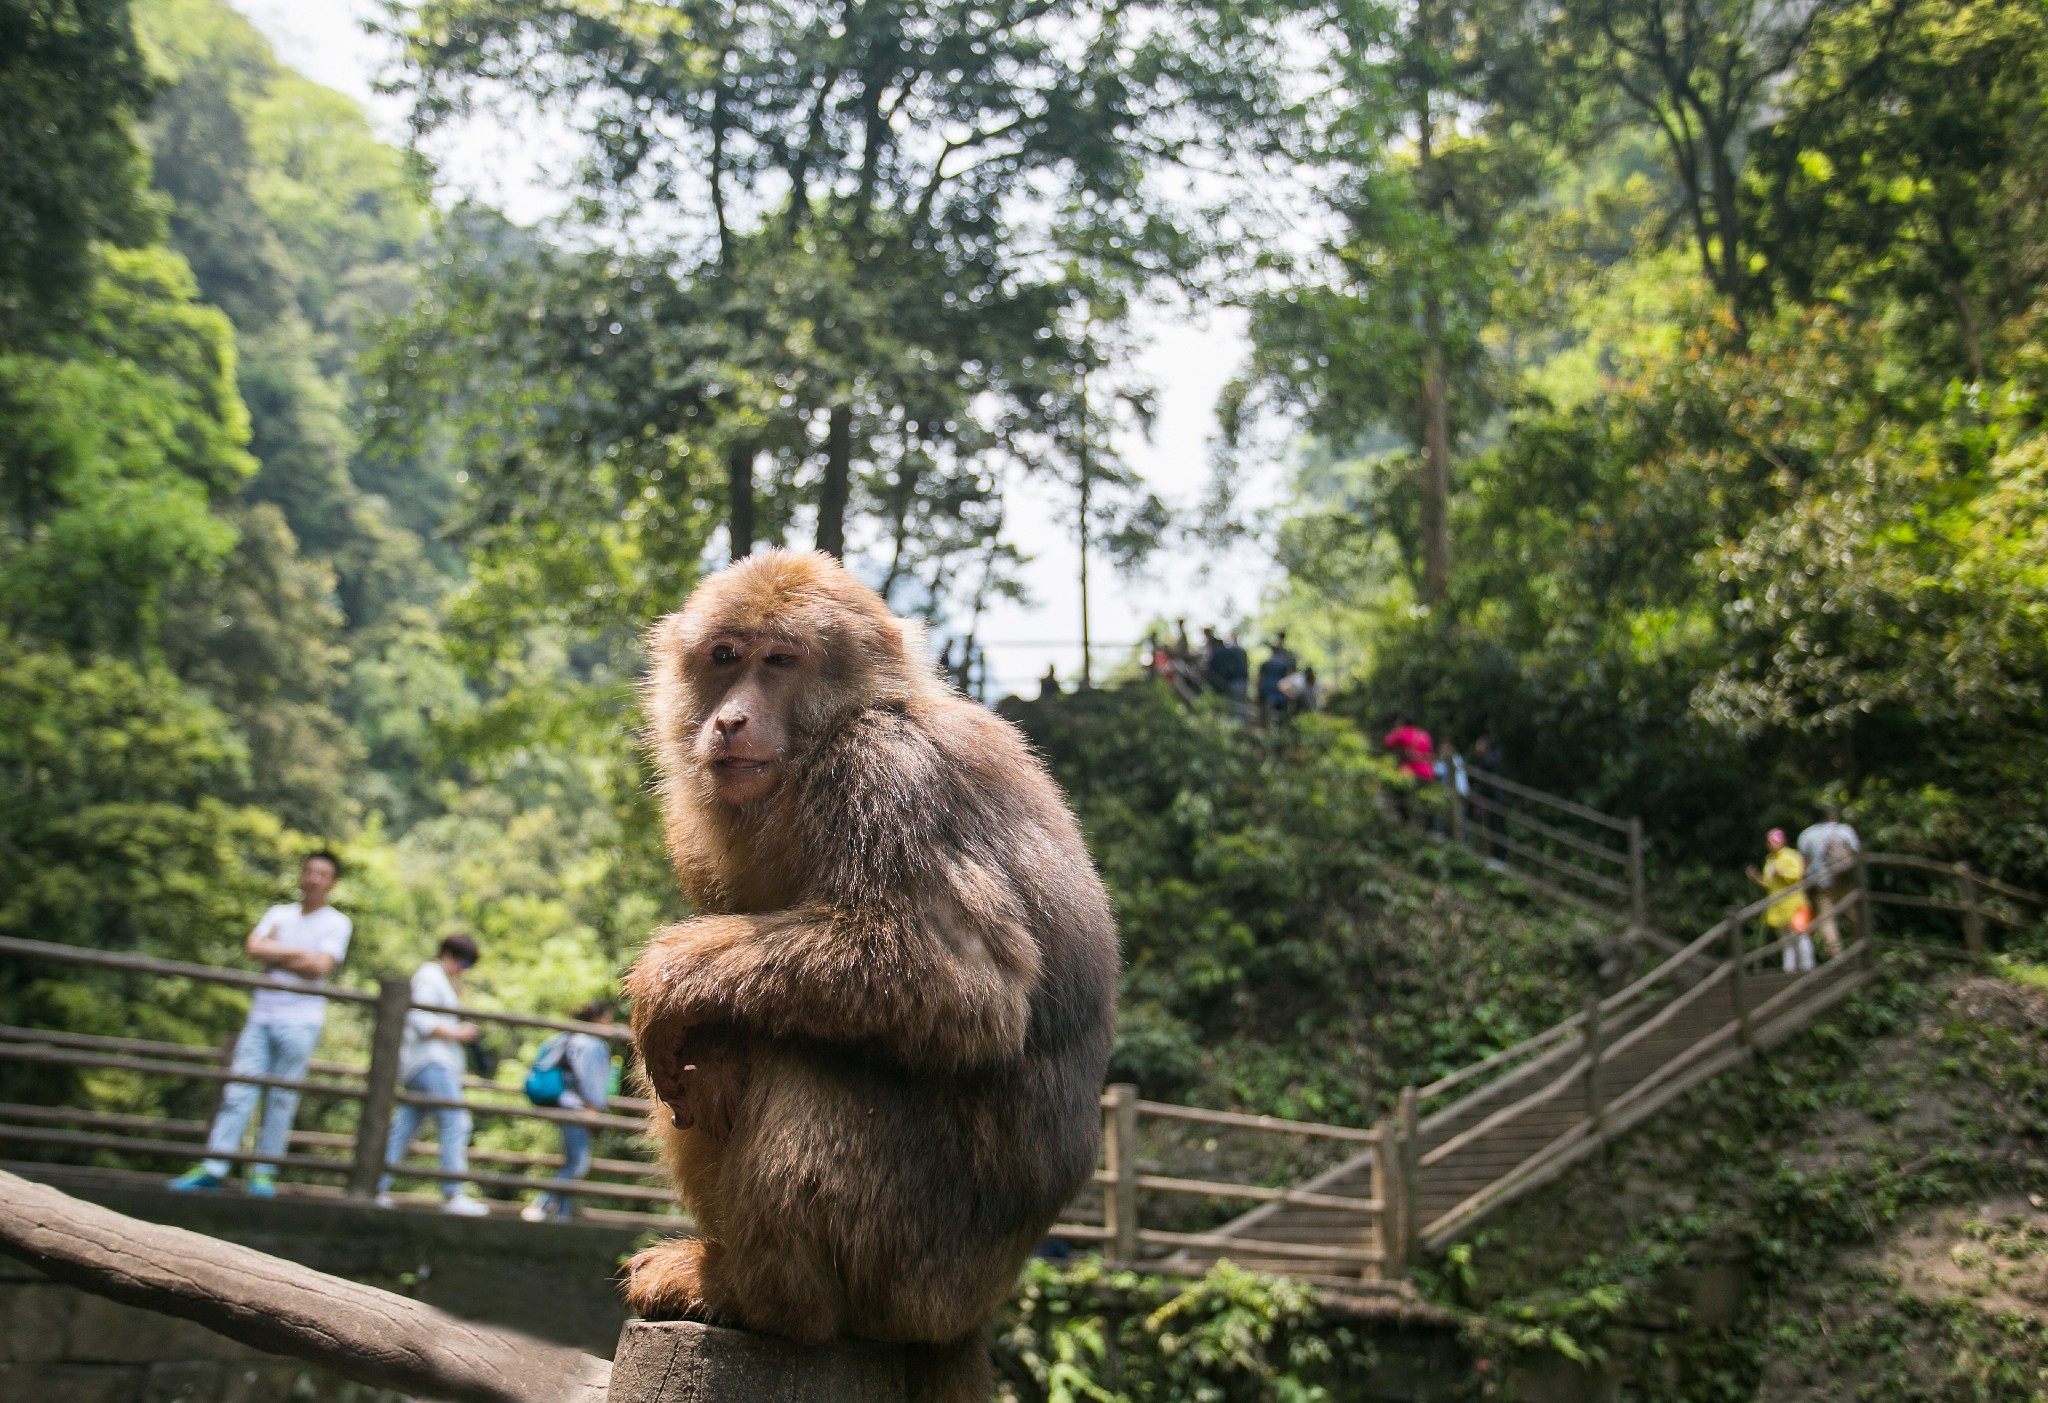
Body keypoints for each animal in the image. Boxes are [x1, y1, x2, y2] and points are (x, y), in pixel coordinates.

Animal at [622, 548, 1122, 1400]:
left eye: (780, 661)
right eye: (725, 657)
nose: (730, 719)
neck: (822, 748)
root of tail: (972, 1314)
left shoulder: (884, 774)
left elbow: (964, 984)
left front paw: (668, 975)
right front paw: (696, 1013)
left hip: (915, 1271)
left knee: (795, 1062)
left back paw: (768, 1298)